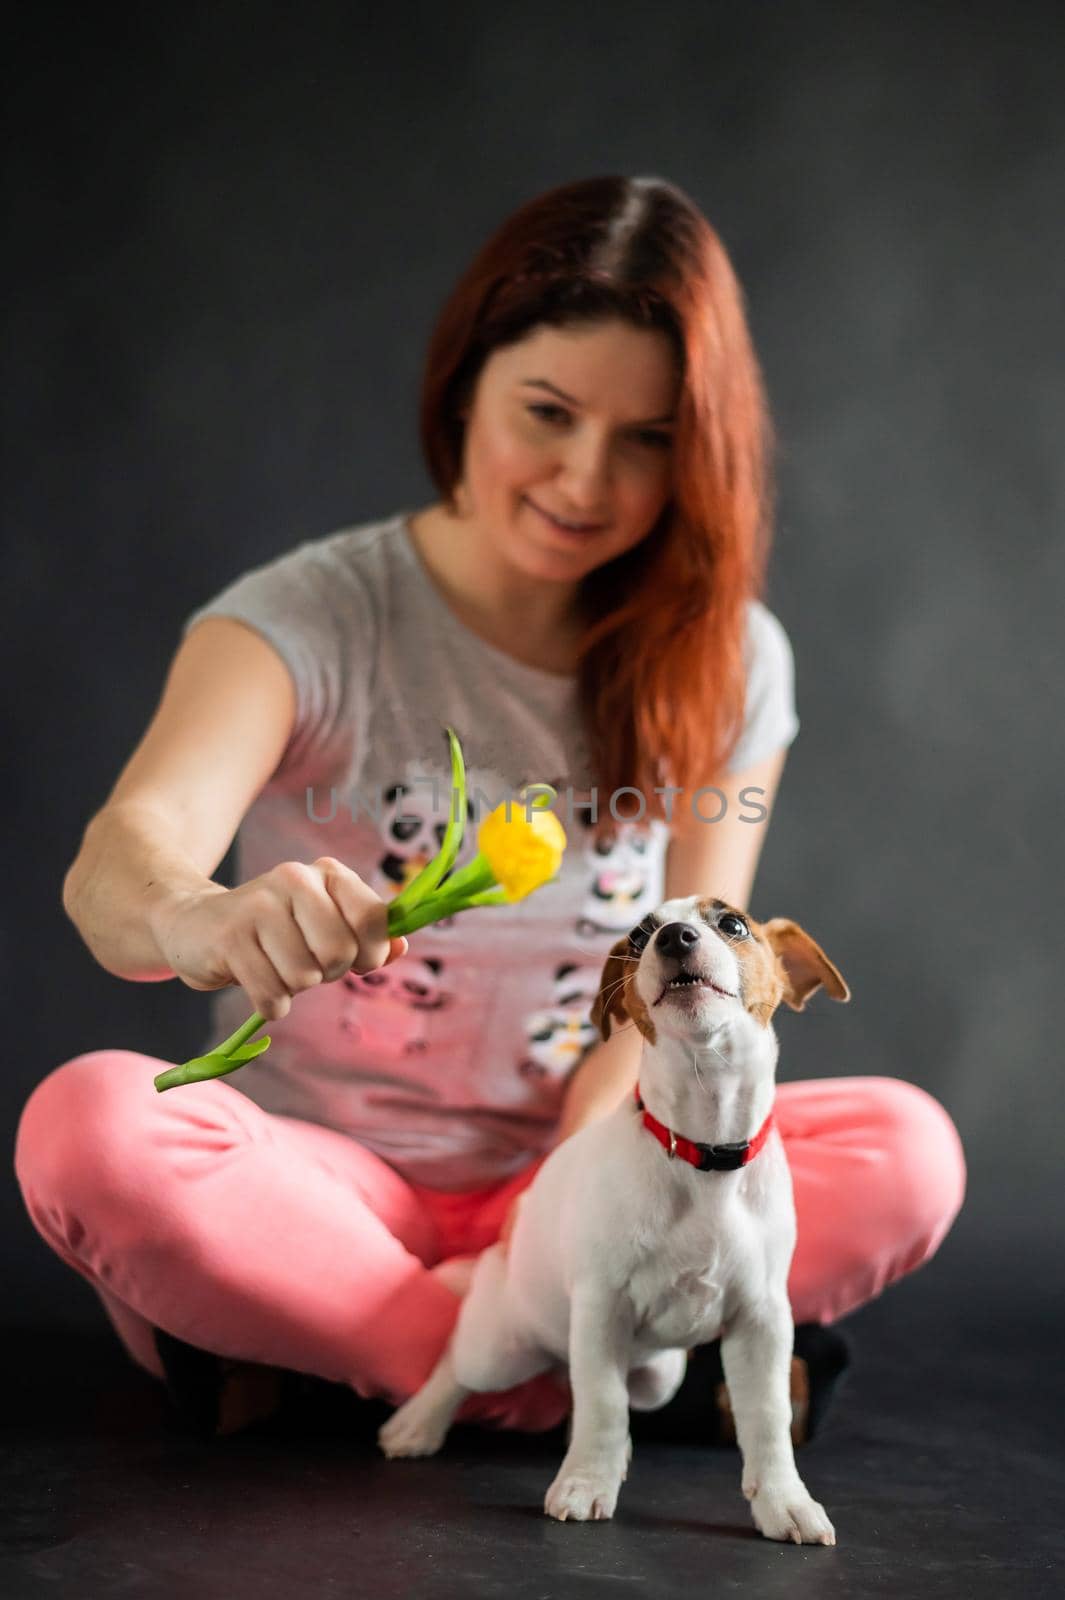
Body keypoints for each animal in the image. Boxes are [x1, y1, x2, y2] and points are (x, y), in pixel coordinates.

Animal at [375, 896, 844, 1542]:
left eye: (733, 923)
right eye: (640, 935)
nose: (675, 937)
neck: (703, 1149)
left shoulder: (762, 1320)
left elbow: (768, 1417)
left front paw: (784, 1501)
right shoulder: (602, 1304)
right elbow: (600, 1400)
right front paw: (585, 1482)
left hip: (660, 1376)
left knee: (611, 1392)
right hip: (502, 1347)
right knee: (465, 1369)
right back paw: (418, 1423)